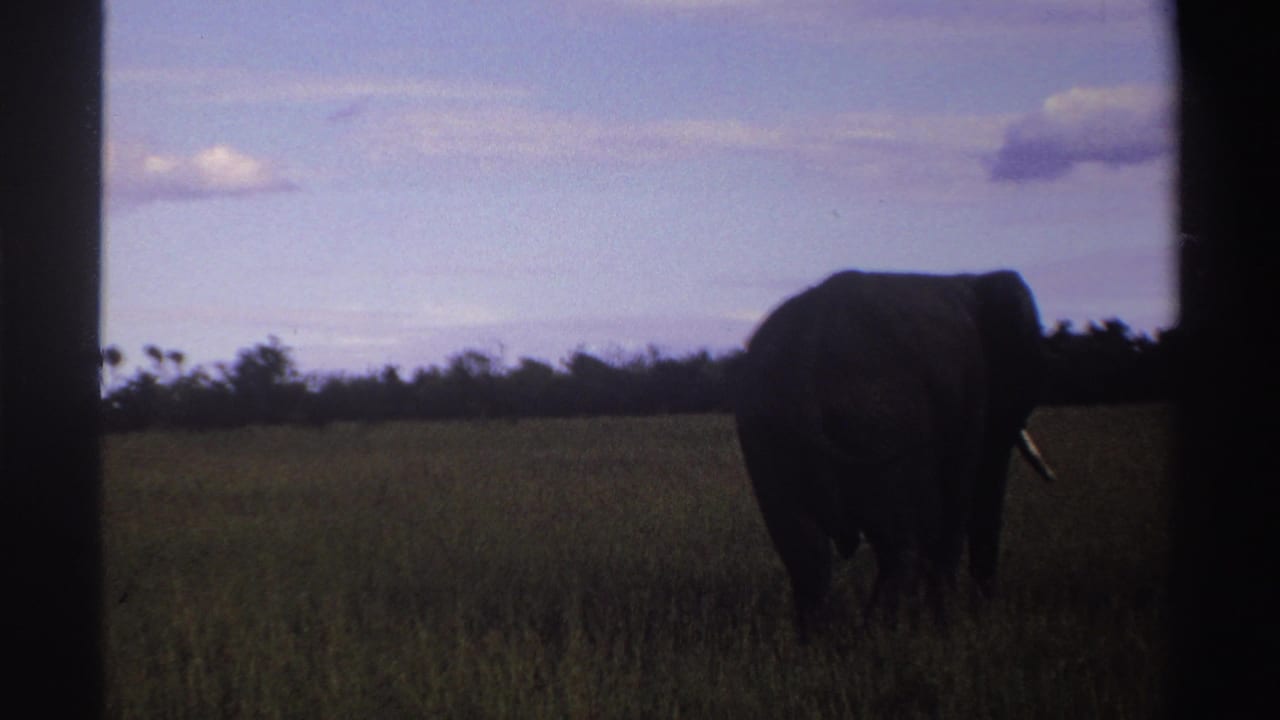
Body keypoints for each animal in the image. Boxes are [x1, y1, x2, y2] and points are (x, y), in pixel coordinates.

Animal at [734, 269, 1055, 636]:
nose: (987, 611)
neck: (971, 281)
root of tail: (807, 349)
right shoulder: (973, 396)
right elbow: (963, 496)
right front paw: (951, 626)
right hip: (876, 416)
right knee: (898, 546)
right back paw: (887, 635)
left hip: (767, 429)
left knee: (804, 551)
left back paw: (824, 641)